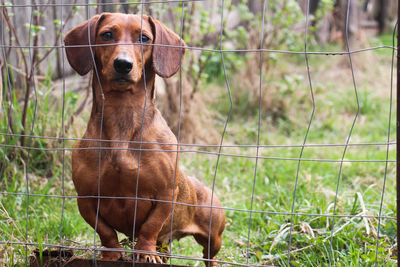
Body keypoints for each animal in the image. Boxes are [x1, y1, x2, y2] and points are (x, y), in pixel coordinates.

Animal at [66, 12, 227, 266]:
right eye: (106, 34)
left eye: (144, 38)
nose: (123, 64)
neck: (122, 117)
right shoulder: (86, 198)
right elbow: (105, 232)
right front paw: (111, 253)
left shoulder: (165, 195)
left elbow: (150, 226)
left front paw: (144, 252)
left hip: (213, 238)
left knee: (209, 256)